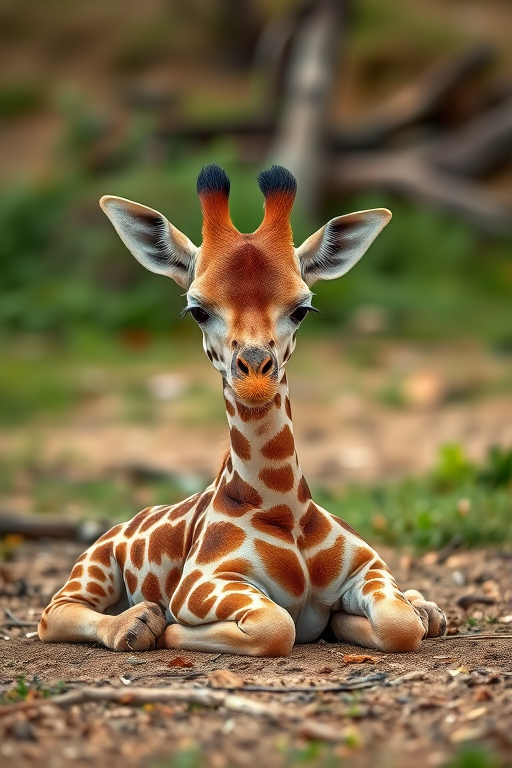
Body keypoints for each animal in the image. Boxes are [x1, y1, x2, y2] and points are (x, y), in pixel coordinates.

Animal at [38, 165, 447, 655]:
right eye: (197, 310)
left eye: (302, 309)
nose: (254, 374)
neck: (284, 507)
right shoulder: (202, 585)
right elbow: (276, 626)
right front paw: (168, 627)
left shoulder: (369, 568)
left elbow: (398, 623)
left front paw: (370, 618)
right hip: (94, 567)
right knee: (53, 612)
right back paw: (136, 623)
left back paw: (428, 607)